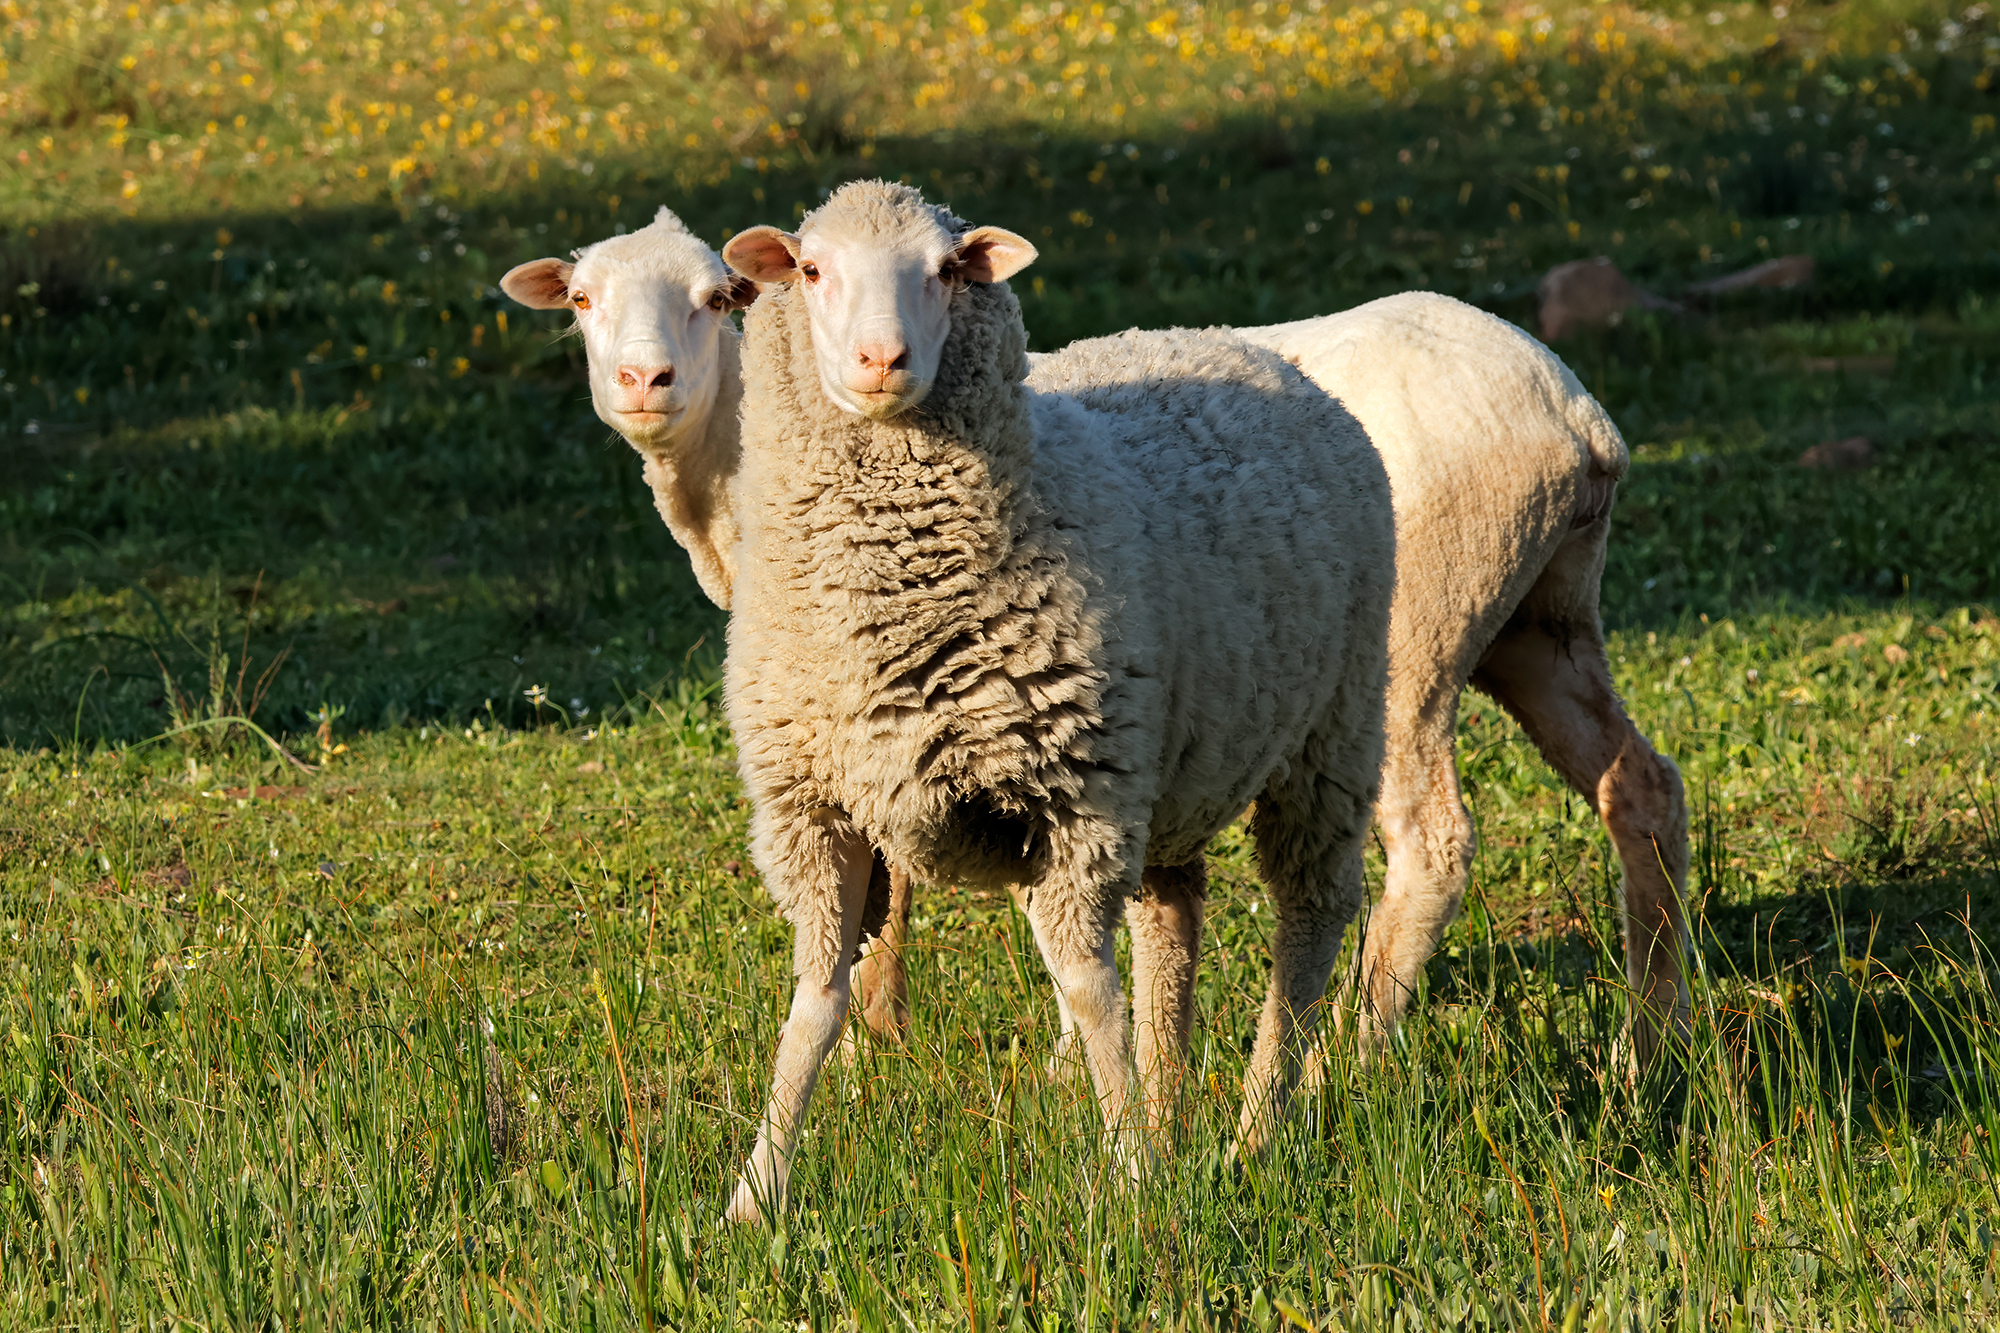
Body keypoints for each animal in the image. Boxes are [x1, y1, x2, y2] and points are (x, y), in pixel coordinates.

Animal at [716, 182, 1392, 1216]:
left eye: (946, 271)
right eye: (814, 269)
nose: (882, 360)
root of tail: (1247, 347)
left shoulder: (1074, 798)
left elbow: (1084, 989)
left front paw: (1132, 1184)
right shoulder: (813, 808)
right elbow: (816, 1003)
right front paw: (756, 1193)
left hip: (1335, 726)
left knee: (1309, 923)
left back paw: (1252, 1130)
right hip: (1173, 773)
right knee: (1172, 924)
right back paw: (1170, 1110)